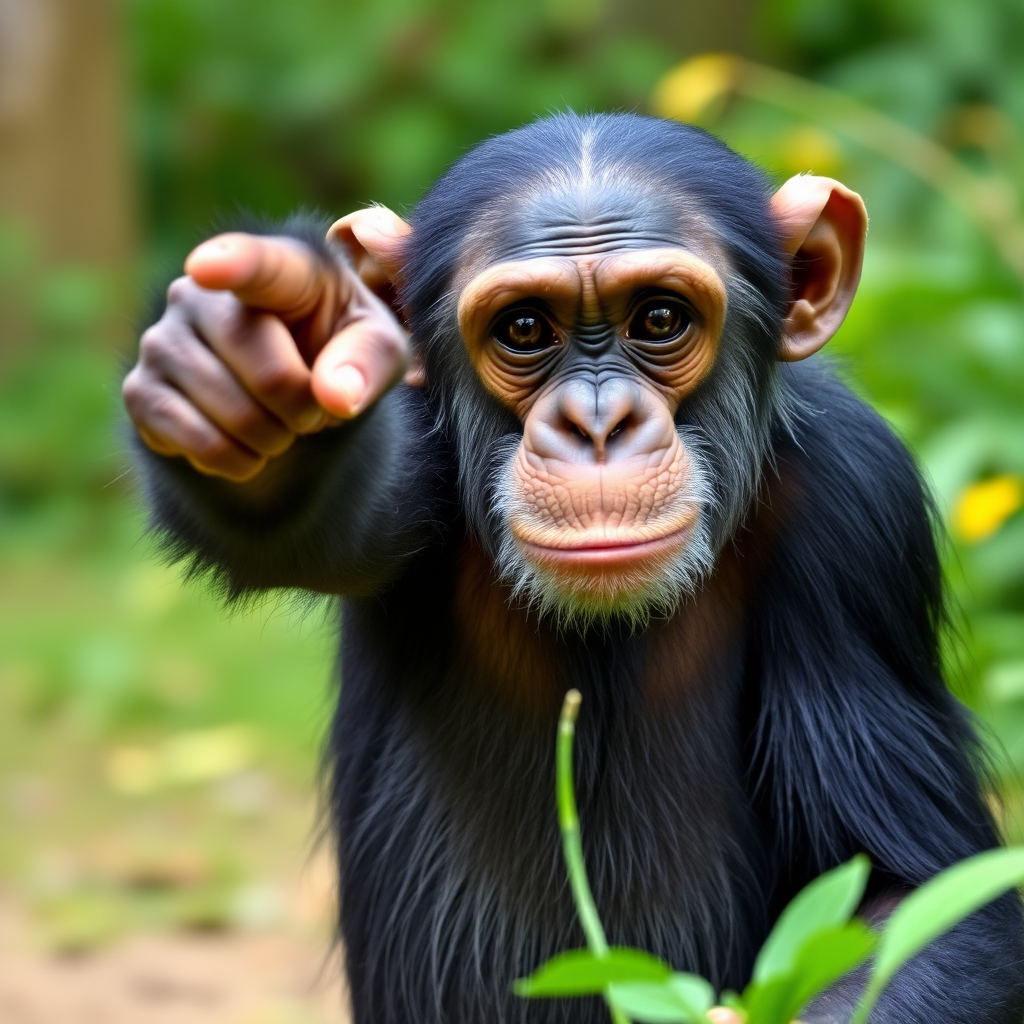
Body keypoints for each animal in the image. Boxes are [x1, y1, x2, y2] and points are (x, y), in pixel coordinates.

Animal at [121, 114, 1024, 1024]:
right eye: (525, 329)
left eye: (658, 319)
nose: (597, 424)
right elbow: (292, 518)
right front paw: (246, 368)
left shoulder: (858, 500)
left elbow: (921, 895)